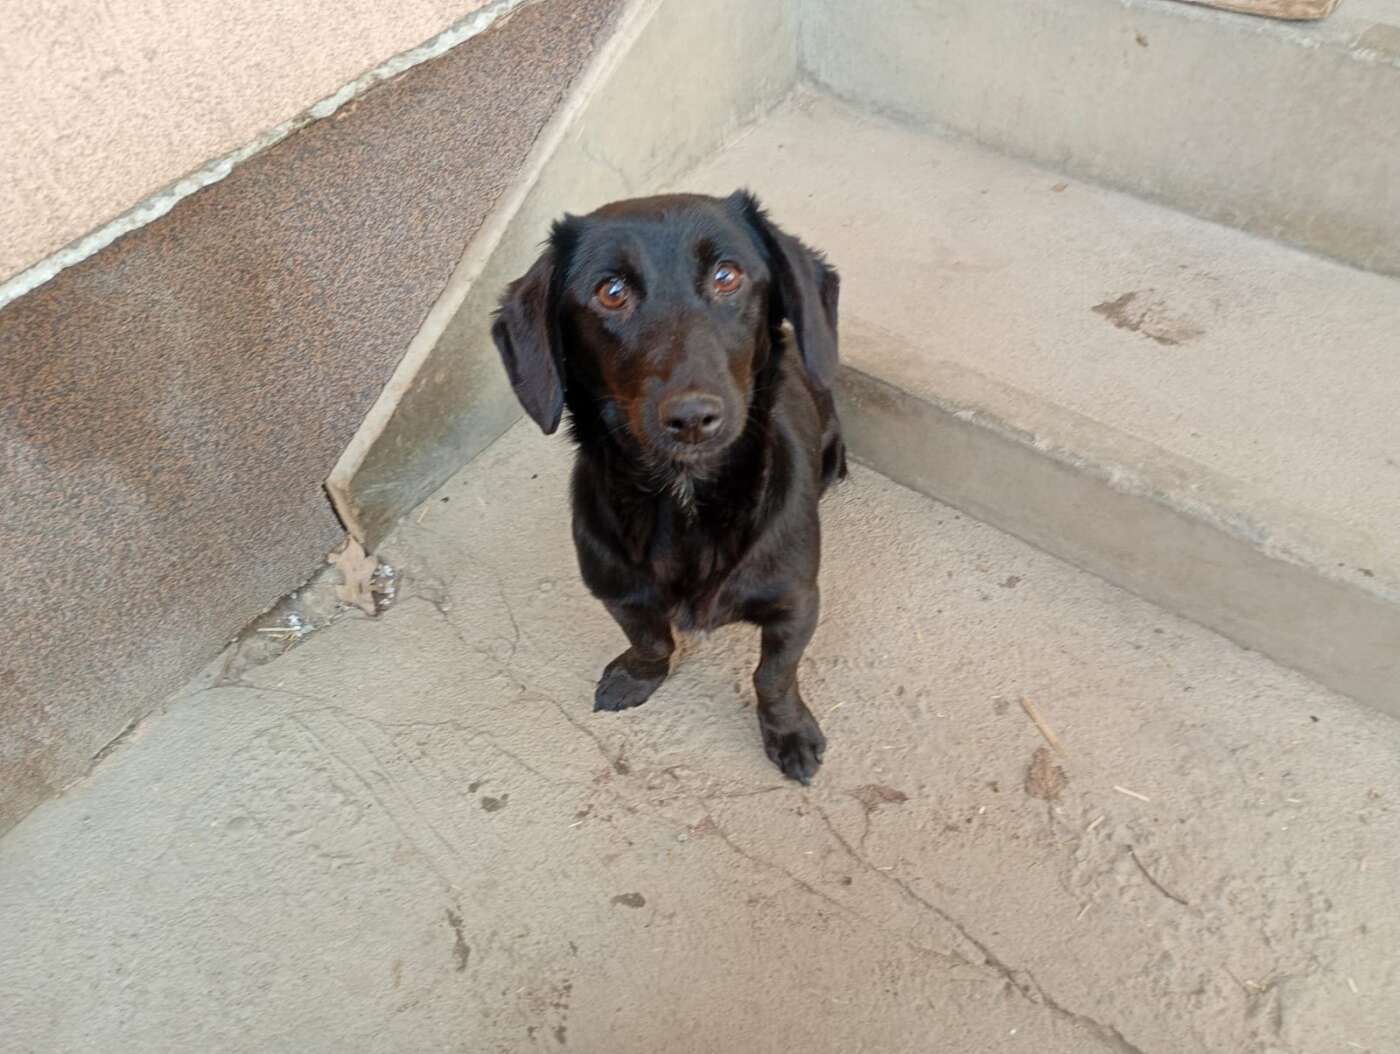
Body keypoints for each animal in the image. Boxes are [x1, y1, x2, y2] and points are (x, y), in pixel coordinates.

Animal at [491, 191, 844, 783]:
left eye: (727, 275)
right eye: (611, 292)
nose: (693, 417)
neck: (686, 498)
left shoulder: (797, 603)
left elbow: (773, 677)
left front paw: (789, 733)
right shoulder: (617, 592)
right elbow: (651, 638)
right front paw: (638, 675)